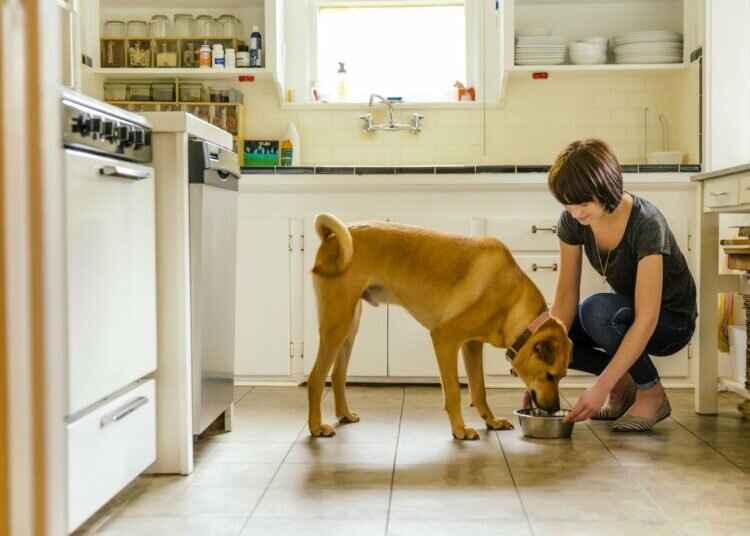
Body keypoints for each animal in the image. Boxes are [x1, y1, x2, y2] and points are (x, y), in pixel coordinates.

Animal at [308, 214, 572, 440]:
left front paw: (491, 420)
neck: (511, 300)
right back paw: (316, 426)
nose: (554, 409)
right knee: (316, 377)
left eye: (561, 377)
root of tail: (332, 237)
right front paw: (460, 430)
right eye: (549, 375)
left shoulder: (472, 346)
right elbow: (454, 391)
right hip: (337, 323)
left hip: (350, 325)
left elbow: (479, 389)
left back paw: (344, 414)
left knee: (338, 374)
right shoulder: (445, 339)